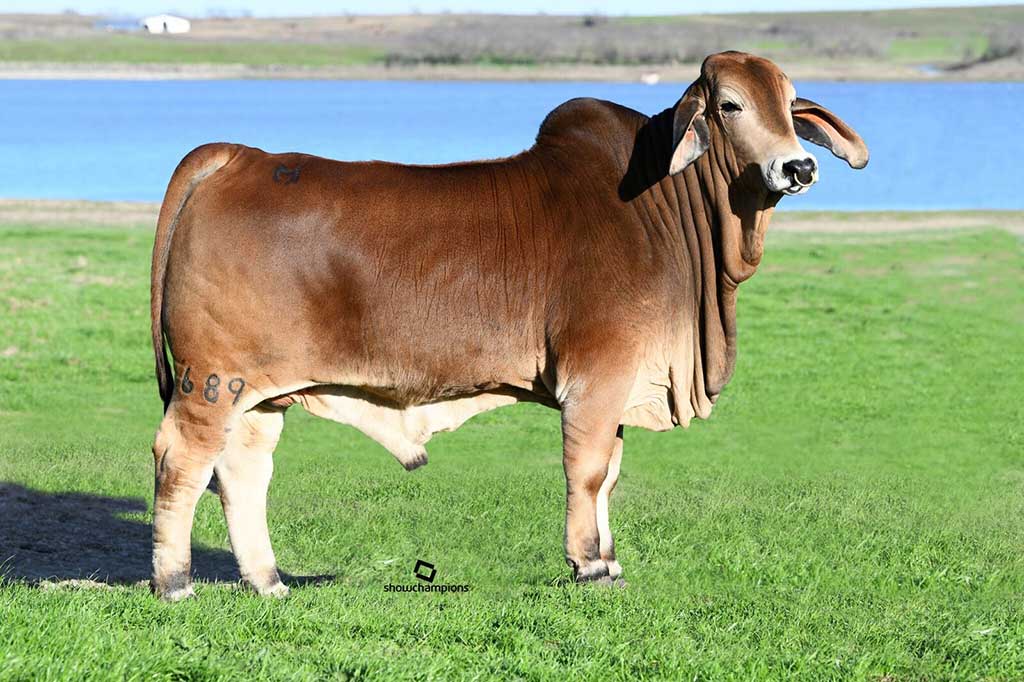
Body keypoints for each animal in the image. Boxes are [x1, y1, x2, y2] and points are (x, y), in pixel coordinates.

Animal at [149, 51, 867, 600]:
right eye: (731, 107)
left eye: (791, 104)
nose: (799, 167)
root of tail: (239, 155)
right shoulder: (597, 378)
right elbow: (586, 470)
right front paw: (589, 565)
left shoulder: (621, 385)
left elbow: (610, 473)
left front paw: (610, 561)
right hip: (211, 382)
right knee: (181, 462)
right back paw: (175, 582)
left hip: (260, 396)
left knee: (242, 471)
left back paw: (268, 581)